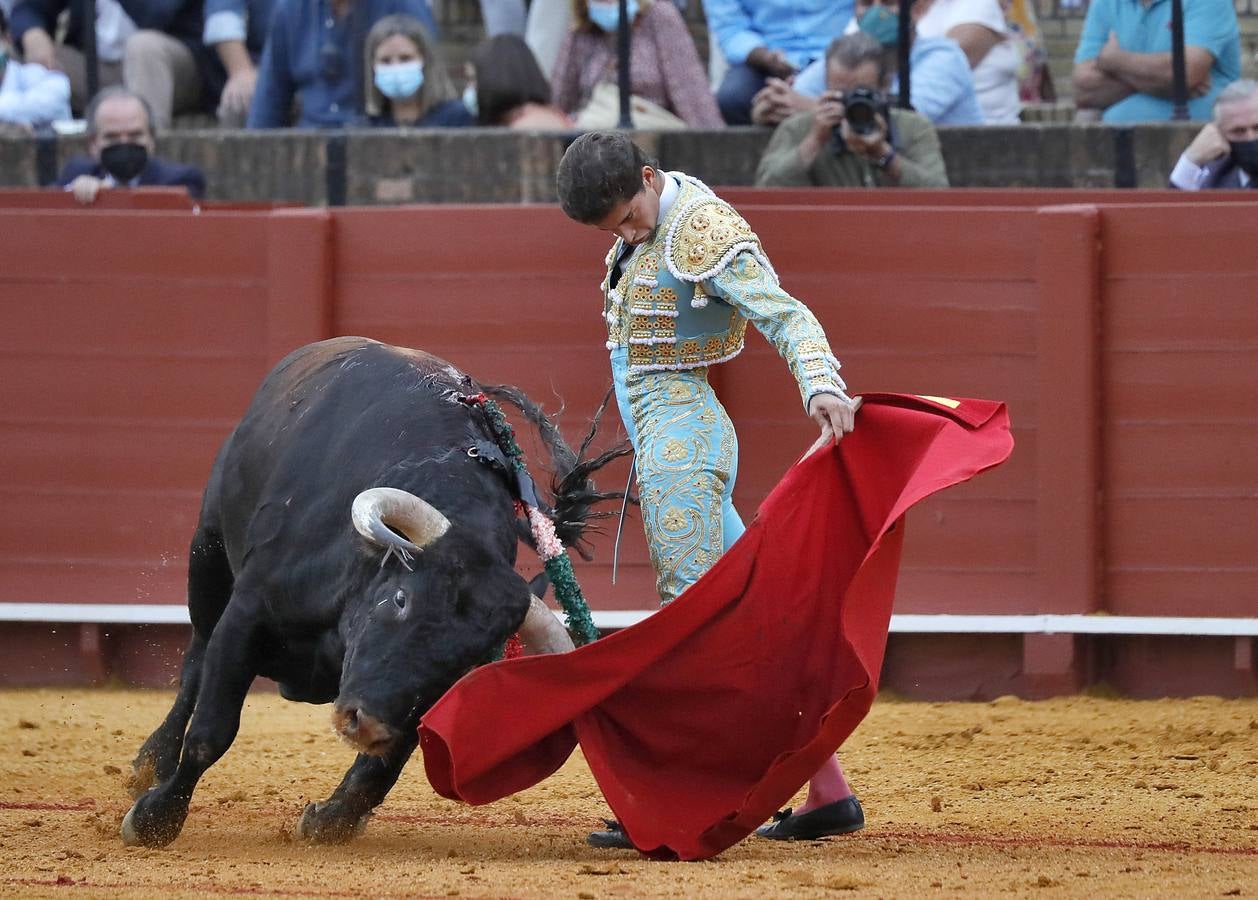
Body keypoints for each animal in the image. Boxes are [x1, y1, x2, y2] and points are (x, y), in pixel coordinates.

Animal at [122, 339, 623, 850]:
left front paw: (331, 819)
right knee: (195, 660)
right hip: (208, 554)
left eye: (470, 660)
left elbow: (384, 766)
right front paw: (154, 819)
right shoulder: (248, 612)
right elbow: (212, 728)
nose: (365, 724)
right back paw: (151, 763)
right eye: (400, 600)